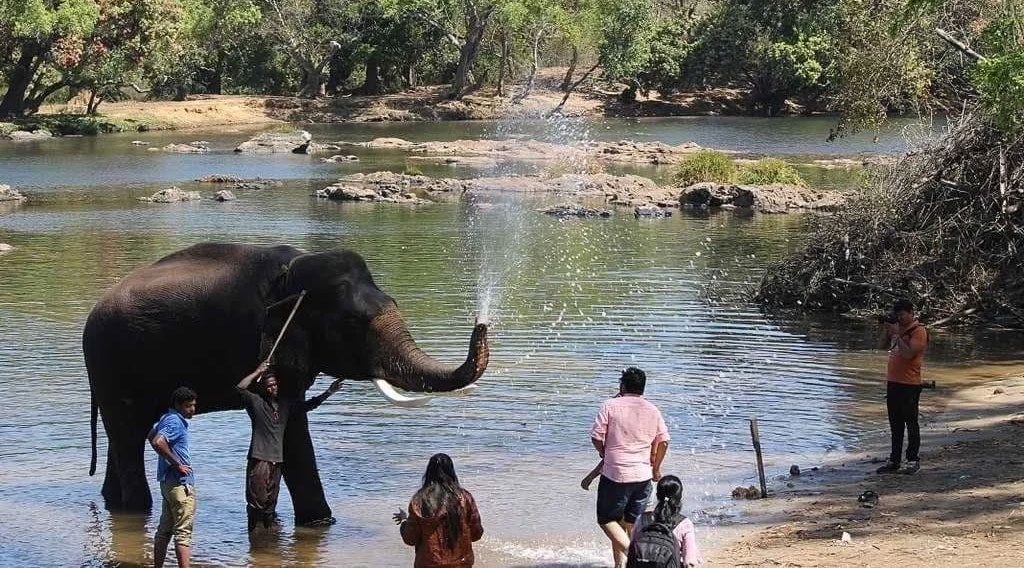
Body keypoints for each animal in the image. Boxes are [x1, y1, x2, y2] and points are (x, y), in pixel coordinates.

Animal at [84, 242, 489, 522]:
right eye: (352, 324)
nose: (480, 323)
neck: (295, 270)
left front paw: (320, 524)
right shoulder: (256, 337)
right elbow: (291, 430)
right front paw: (320, 522)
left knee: (127, 435)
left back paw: (114, 504)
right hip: (108, 364)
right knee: (127, 434)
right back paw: (137, 510)